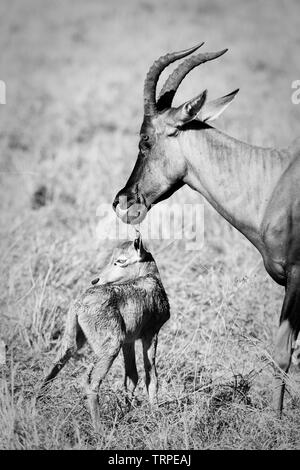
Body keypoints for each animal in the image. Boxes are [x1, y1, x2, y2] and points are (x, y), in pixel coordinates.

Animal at [40, 235, 169, 426]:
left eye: (120, 260)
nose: (96, 280)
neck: (150, 278)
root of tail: (79, 304)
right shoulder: (151, 335)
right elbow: (150, 375)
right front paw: (156, 414)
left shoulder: (129, 341)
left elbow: (131, 376)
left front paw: (127, 409)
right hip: (110, 347)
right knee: (90, 380)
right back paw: (99, 429)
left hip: (73, 340)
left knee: (54, 364)